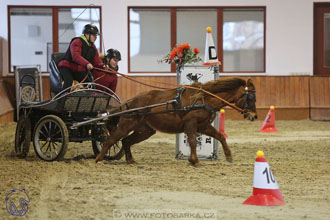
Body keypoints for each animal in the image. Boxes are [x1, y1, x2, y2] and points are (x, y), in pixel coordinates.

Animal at [95, 77, 258, 165]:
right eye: (250, 97)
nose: (255, 116)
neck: (203, 99)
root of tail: (130, 102)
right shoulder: (191, 123)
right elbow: (192, 141)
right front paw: (195, 160)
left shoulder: (203, 126)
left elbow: (220, 136)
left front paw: (229, 156)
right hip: (126, 125)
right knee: (110, 140)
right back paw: (99, 159)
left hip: (145, 130)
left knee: (126, 141)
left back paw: (130, 160)